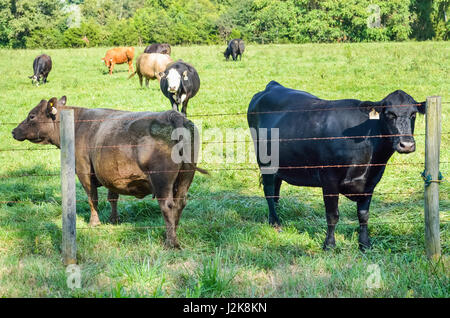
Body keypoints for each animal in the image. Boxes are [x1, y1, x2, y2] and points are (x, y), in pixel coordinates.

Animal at [11, 95, 206, 247]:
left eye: (31, 116)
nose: (13, 131)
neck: (77, 124)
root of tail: (174, 115)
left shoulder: (83, 171)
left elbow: (93, 199)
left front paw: (94, 223)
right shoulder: (112, 175)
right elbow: (112, 197)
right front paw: (114, 220)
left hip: (162, 181)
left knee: (167, 205)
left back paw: (170, 242)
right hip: (185, 177)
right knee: (179, 204)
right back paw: (172, 231)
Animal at [248, 81, 428, 251]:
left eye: (413, 114)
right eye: (389, 114)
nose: (406, 145)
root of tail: (273, 85)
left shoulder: (371, 181)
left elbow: (363, 215)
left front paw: (364, 244)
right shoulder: (329, 179)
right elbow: (332, 215)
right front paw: (329, 245)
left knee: (276, 189)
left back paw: (277, 216)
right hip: (265, 163)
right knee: (269, 191)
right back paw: (276, 223)